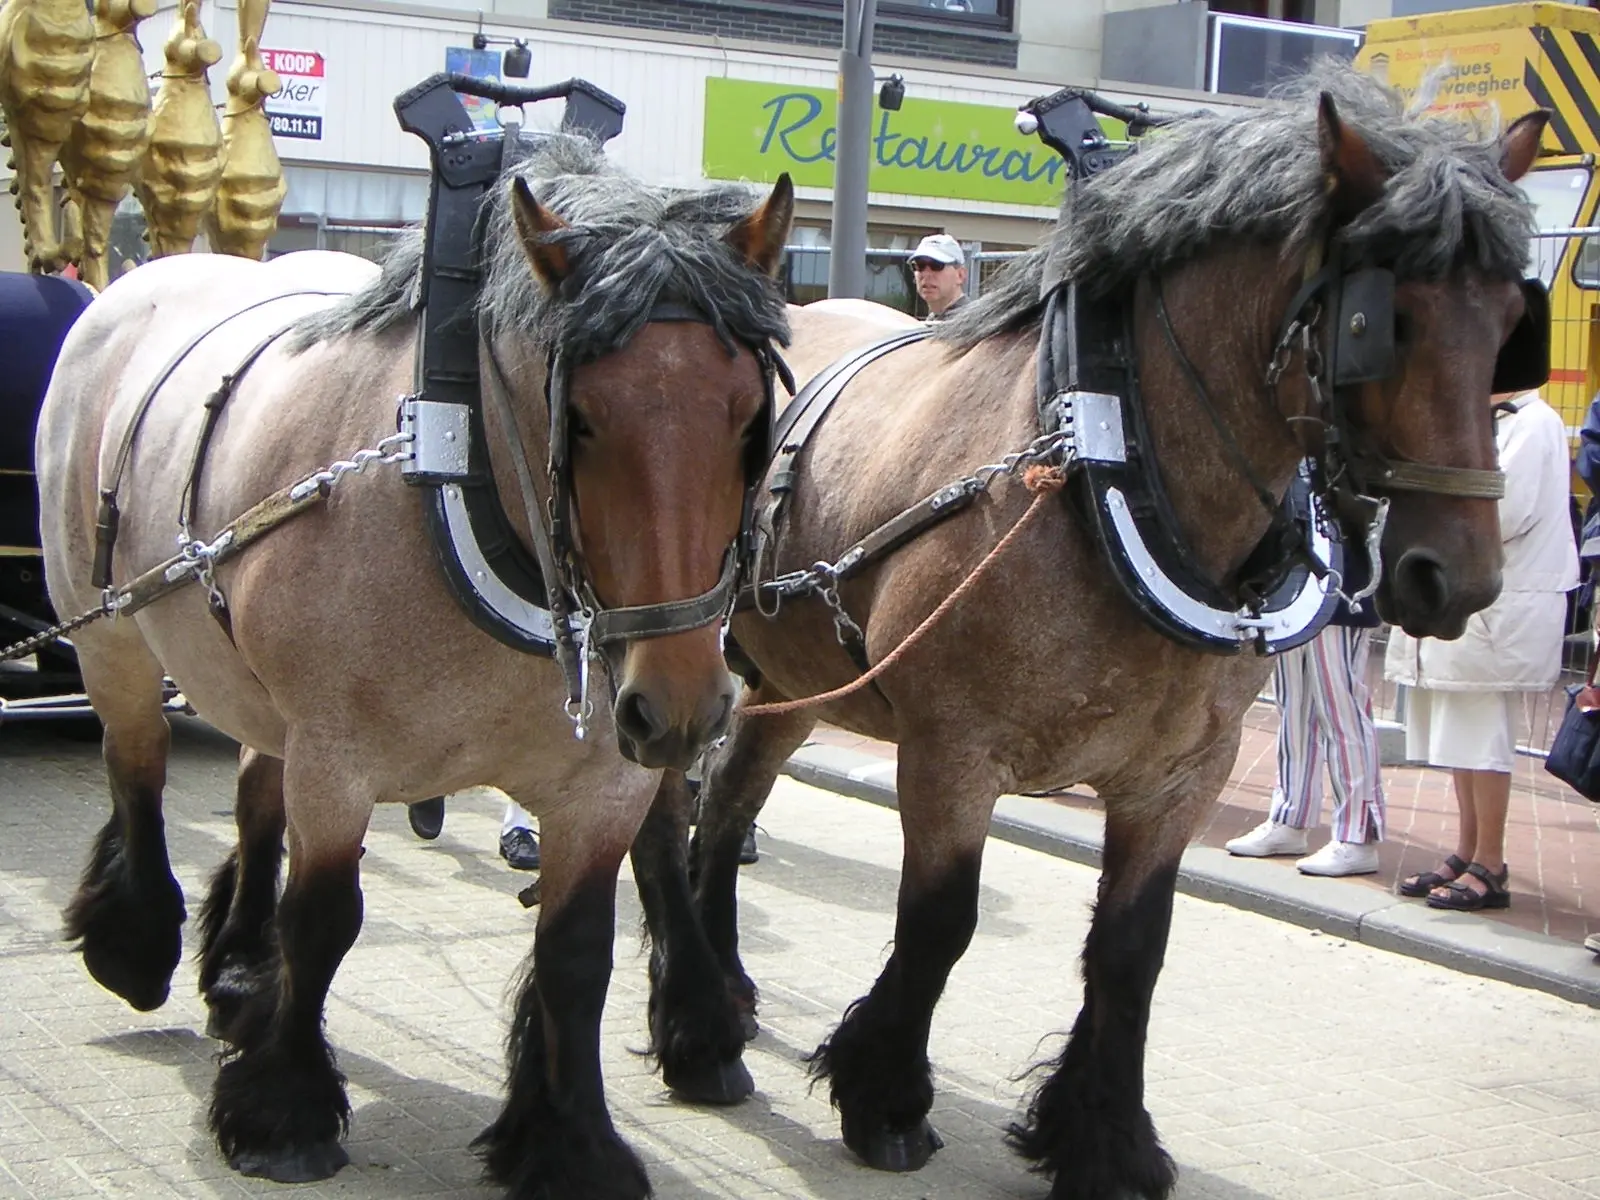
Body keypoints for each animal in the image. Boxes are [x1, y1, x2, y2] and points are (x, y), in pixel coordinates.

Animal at [32, 138, 793, 1196]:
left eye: (748, 417)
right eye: (583, 418)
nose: (682, 704)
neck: (457, 482)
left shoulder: (599, 784)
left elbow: (576, 954)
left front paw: (570, 1140)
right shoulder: (337, 759)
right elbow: (323, 918)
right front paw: (283, 1111)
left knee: (254, 788)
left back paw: (239, 970)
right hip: (109, 635)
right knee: (137, 765)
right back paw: (138, 942)